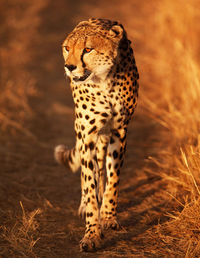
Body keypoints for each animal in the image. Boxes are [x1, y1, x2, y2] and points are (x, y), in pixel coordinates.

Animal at [54, 18, 139, 252]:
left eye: (88, 49)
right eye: (67, 48)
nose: (69, 66)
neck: (103, 81)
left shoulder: (119, 130)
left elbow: (113, 178)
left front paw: (108, 216)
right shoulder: (88, 133)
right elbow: (89, 181)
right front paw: (91, 233)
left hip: (105, 135)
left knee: (102, 166)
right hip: (85, 132)